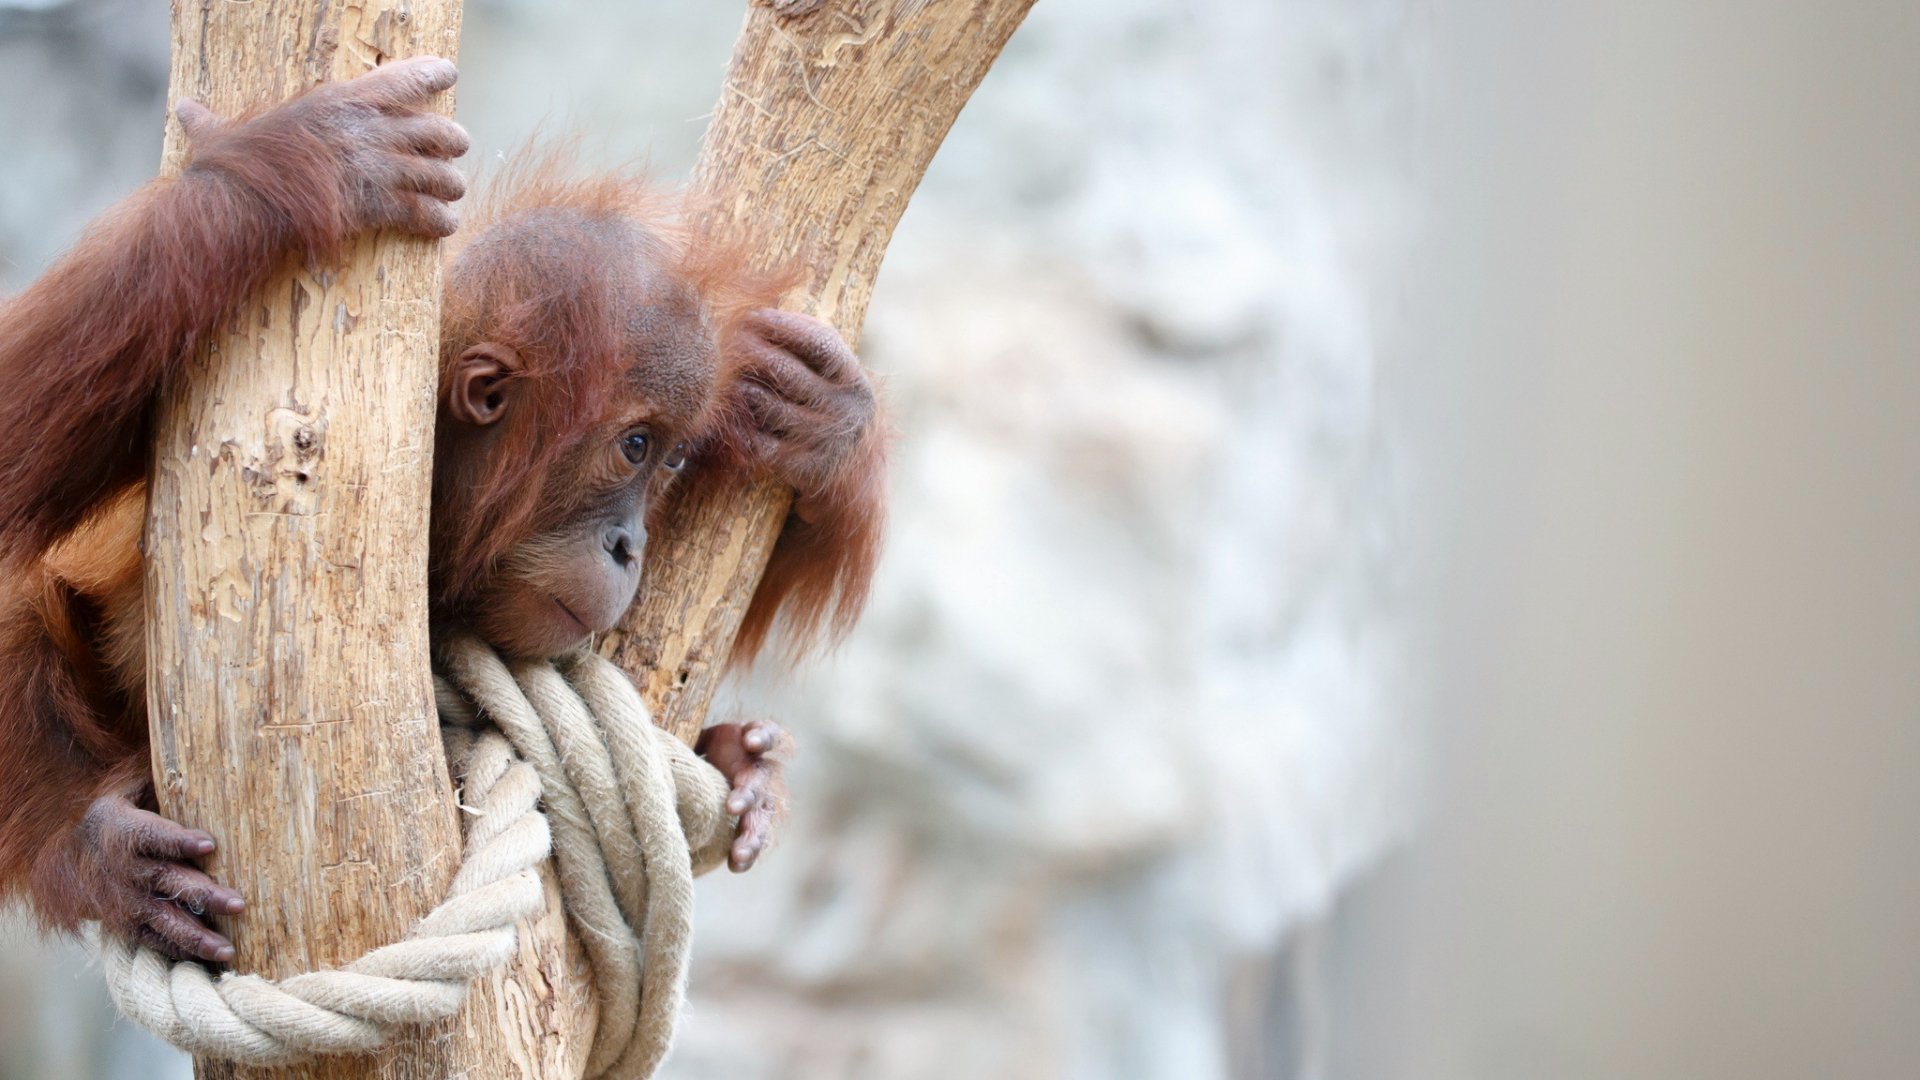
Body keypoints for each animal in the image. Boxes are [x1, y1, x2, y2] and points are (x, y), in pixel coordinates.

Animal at [0, 57, 885, 966]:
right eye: (636, 447)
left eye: (673, 462)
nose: (629, 546)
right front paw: (300, 162)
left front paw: (826, 424)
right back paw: (92, 847)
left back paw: (744, 765)